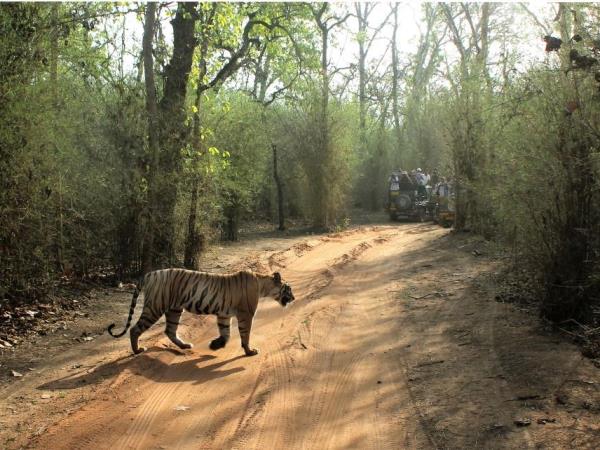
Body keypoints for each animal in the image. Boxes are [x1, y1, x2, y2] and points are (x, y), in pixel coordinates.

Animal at [109, 268, 296, 356]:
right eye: (289, 289)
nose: (294, 298)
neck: (263, 285)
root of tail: (149, 274)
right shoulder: (245, 315)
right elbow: (245, 335)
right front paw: (249, 352)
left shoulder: (224, 314)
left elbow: (226, 333)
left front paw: (216, 345)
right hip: (155, 307)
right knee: (135, 329)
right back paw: (138, 350)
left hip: (174, 309)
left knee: (170, 330)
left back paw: (184, 345)